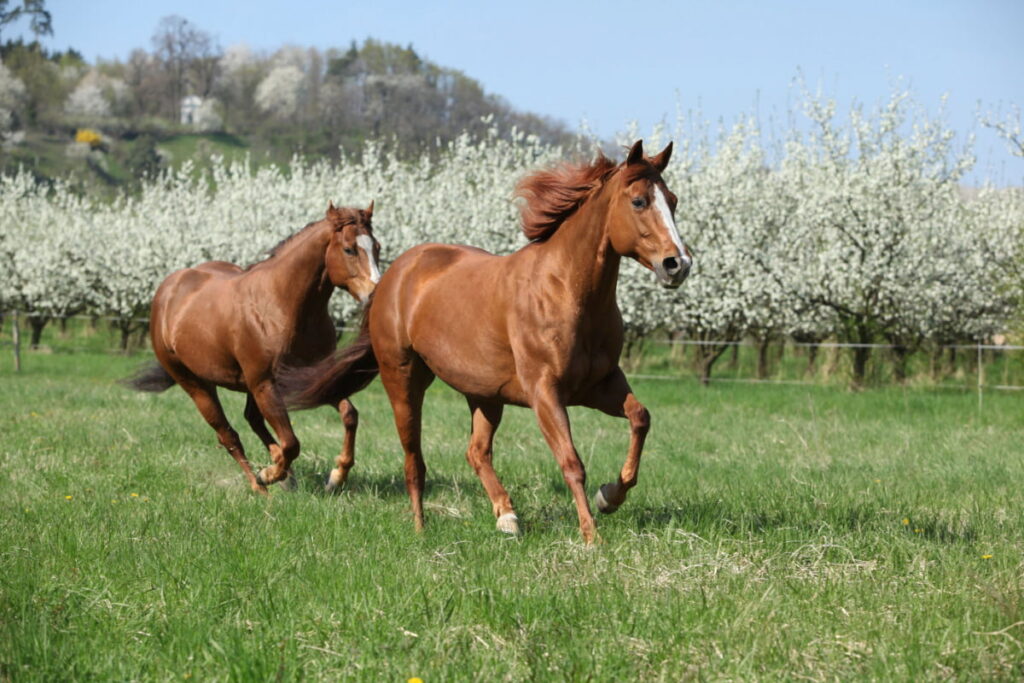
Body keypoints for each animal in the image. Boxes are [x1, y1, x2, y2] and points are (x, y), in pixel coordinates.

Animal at [284, 141, 692, 540]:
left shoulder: (600, 385)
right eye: (639, 201)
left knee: (476, 451)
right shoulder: (545, 392)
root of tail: (390, 278)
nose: (678, 265)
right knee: (414, 458)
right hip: (403, 380)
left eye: (672, 200)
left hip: (484, 395)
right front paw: (591, 537)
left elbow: (640, 418)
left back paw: (507, 517)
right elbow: (571, 461)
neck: (566, 291)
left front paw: (609, 497)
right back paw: (420, 529)